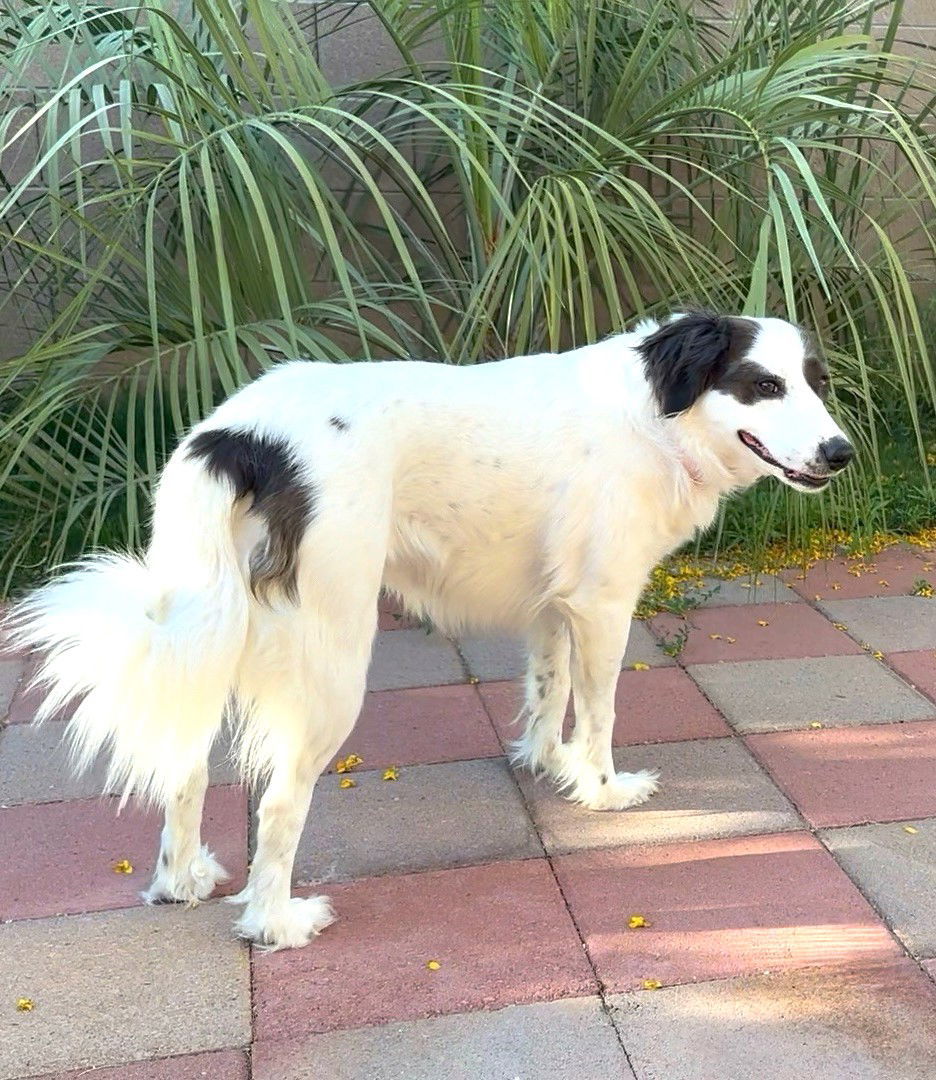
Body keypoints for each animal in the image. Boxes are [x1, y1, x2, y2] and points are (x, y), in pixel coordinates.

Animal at [9, 311, 855, 946]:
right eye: (763, 385)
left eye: (818, 383)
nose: (841, 452)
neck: (652, 413)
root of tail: (242, 436)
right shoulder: (603, 605)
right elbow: (600, 713)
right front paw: (604, 792)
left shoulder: (554, 606)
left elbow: (548, 695)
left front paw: (548, 767)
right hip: (332, 664)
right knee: (278, 807)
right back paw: (276, 923)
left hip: (207, 638)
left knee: (182, 769)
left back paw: (180, 881)